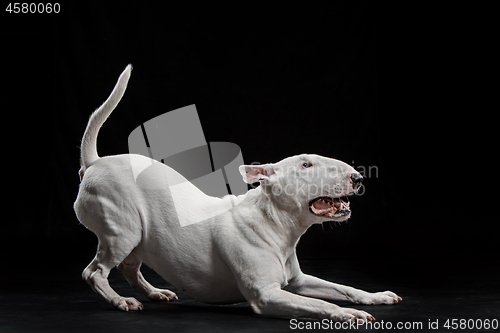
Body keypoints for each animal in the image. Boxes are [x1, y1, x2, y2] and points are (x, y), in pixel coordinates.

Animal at [75, 65, 402, 322]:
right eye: (306, 165)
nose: (358, 177)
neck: (277, 225)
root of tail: (96, 162)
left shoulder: (298, 281)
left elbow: (342, 288)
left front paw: (377, 296)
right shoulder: (266, 295)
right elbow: (320, 303)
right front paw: (348, 313)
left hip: (138, 236)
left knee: (129, 266)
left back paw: (154, 292)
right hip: (122, 229)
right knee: (94, 272)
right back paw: (121, 301)